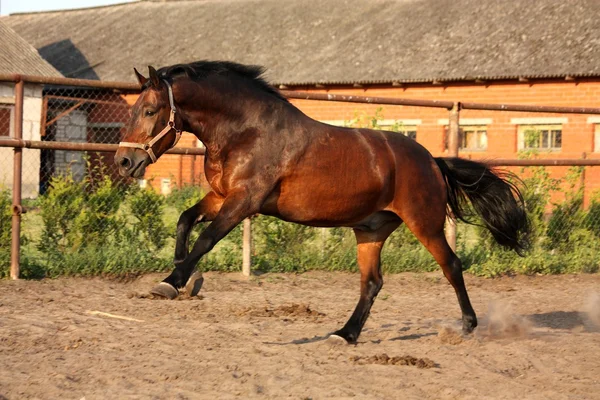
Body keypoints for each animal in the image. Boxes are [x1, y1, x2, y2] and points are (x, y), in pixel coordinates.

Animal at [117, 61, 528, 342]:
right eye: (134, 109)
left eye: (150, 111)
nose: (124, 161)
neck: (247, 131)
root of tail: (432, 160)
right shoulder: (220, 196)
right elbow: (185, 220)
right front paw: (183, 277)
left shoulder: (244, 201)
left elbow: (205, 239)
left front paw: (170, 282)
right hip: (371, 230)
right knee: (372, 283)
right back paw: (344, 334)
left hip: (424, 222)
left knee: (451, 266)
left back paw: (468, 325)